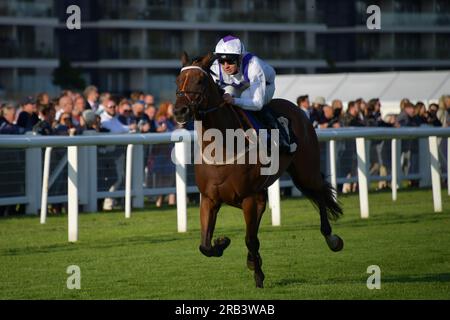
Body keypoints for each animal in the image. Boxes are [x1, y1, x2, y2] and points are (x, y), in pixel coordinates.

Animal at [174, 52, 342, 288]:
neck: (221, 149)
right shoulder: (209, 199)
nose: (179, 111)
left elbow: (250, 239)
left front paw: (258, 275)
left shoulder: (248, 197)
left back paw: (332, 239)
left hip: (305, 172)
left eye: (200, 81)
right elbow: (205, 245)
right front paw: (223, 242)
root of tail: (298, 109)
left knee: (319, 194)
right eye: (178, 81)